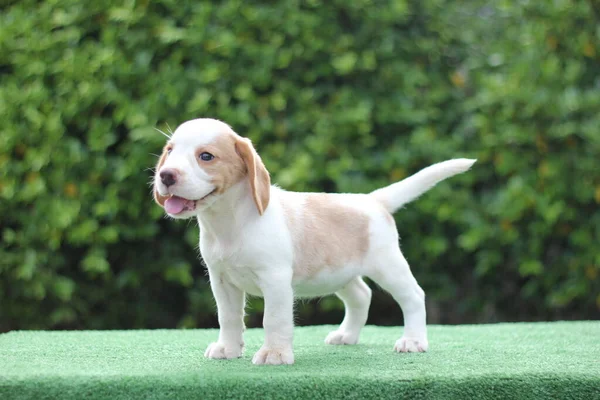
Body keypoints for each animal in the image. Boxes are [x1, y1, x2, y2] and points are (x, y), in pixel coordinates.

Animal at [152, 118, 476, 366]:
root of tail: (373, 200)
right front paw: (228, 349)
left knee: (413, 296)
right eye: (169, 151)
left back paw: (413, 340)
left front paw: (274, 354)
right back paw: (347, 335)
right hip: (342, 273)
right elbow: (229, 318)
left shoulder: (276, 281)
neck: (229, 223)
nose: (166, 175)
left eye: (206, 156)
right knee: (362, 296)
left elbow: (274, 320)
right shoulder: (222, 282)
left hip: (388, 266)